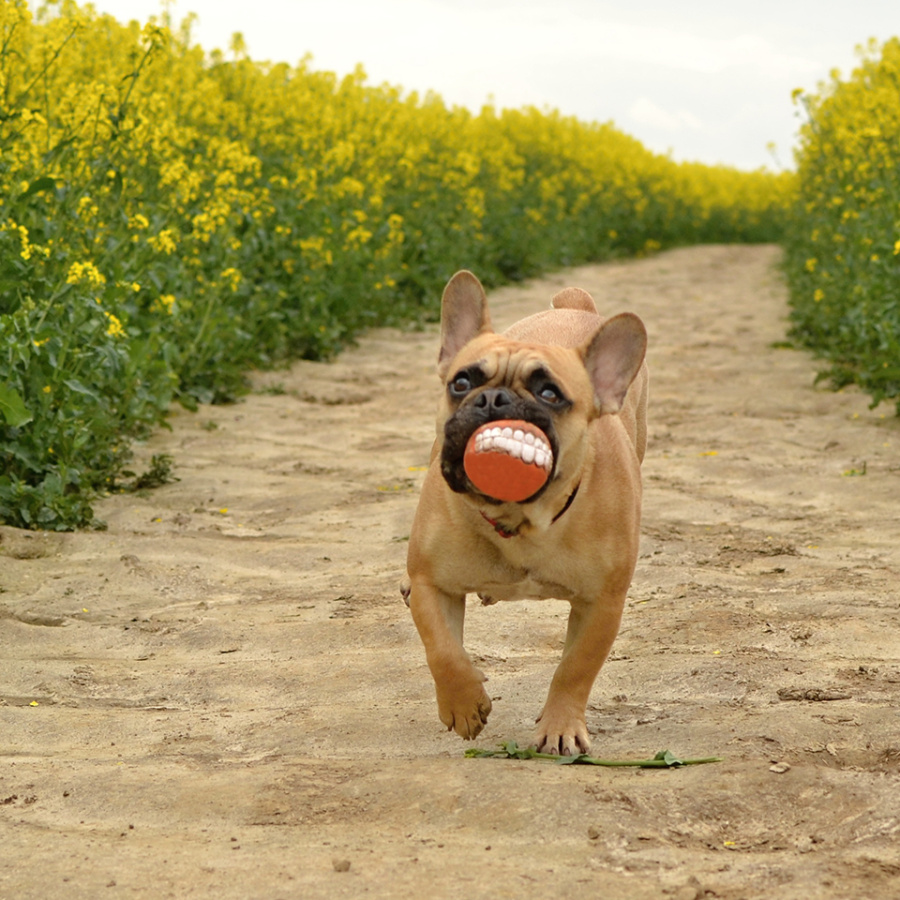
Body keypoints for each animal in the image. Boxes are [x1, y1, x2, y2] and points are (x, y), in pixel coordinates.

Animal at [402, 270, 648, 756]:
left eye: (551, 394)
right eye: (461, 383)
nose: (493, 399)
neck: (520, 520)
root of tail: (574, 306)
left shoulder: (603, 604)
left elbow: (575, 668)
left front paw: (559, 727)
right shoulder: (432, 583)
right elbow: (443, 650)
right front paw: (464, 705)